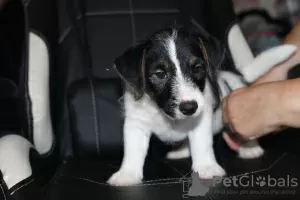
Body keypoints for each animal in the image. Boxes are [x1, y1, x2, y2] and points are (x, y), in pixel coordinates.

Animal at [107, 25, 296, 186]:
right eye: (160, 74)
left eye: (197, 68)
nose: (189, 107)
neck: (163, 113)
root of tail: (235, 75)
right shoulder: (136, 124)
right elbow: (133, 151)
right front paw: (127, 174)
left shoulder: (200, 120)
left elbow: (202, 144)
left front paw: (206, 167)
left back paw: (249, 149)